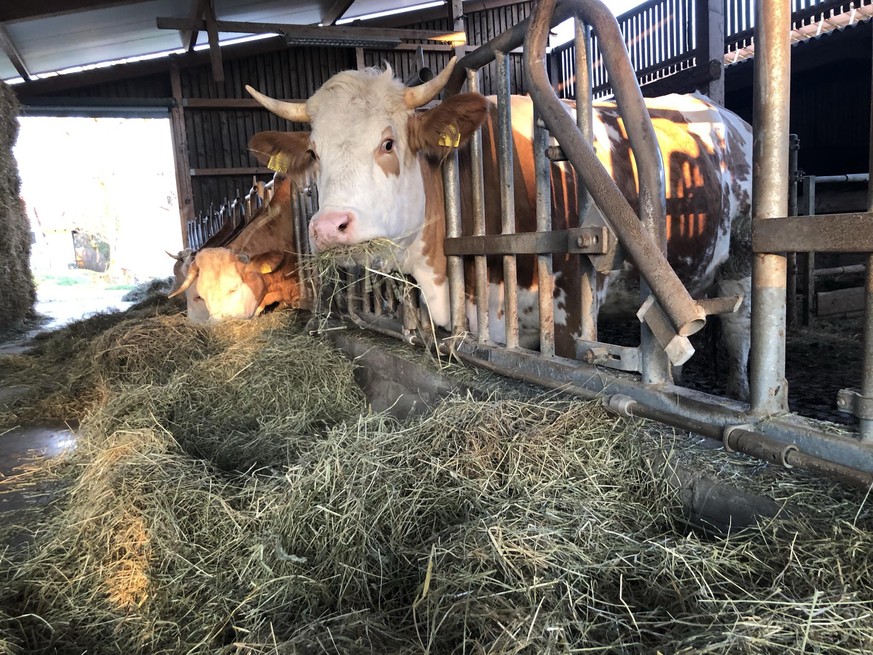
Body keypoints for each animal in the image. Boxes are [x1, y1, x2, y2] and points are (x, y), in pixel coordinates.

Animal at [244, 60, 748, 400]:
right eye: (314, 153)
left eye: (388, 142)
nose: (329, 227)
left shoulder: (569, 320)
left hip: (738, 267)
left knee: (739, 333)